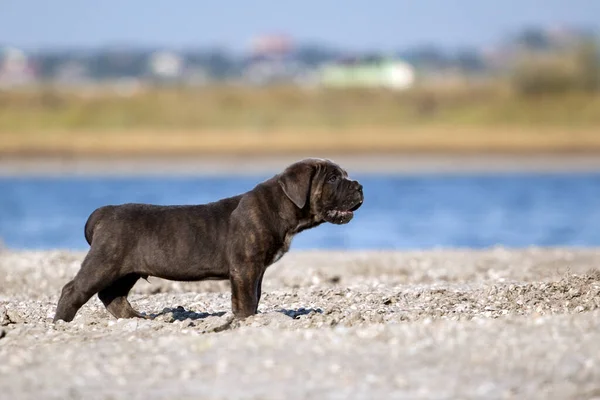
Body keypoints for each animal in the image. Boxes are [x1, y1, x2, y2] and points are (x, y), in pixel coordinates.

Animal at [55, 158, 366, 324]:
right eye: (334, 178)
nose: (360, 186)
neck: (280, 206)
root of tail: (104, 212)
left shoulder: (257, 270)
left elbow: (255, 295)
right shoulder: (245, 267)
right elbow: (245, 298)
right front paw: (245, 320)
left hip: (125, 270)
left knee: (113, 295)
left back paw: (135, 319)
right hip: (105, 261)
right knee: (74, 290)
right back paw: (61, 323)